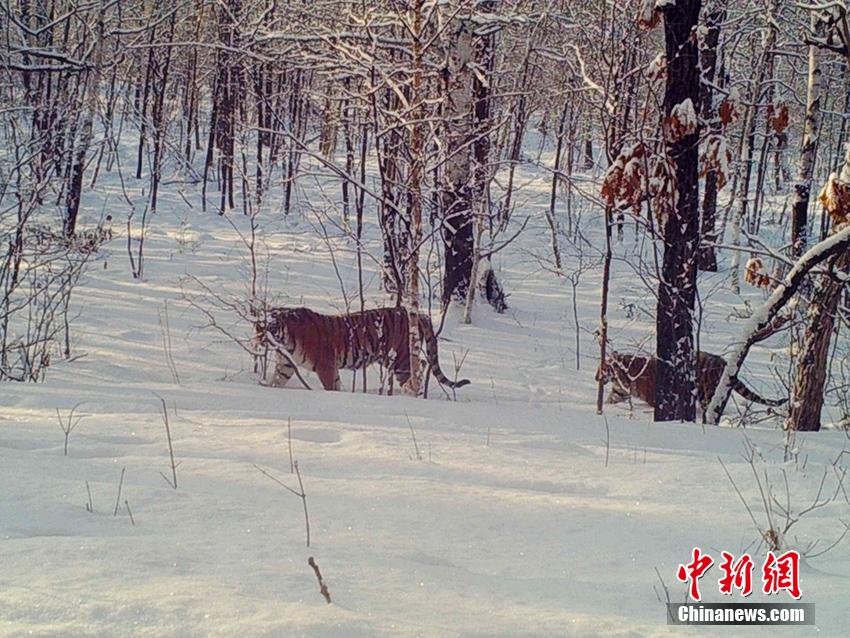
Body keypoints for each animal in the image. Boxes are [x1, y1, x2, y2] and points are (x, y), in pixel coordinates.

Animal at [253, 306, 470, 392]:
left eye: (268, 328)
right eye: (257, 328)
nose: (258, 340)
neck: (285, 340)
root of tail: (416, 312)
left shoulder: (325, 365)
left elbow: (330, 385)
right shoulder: (286, 364)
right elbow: (277, 379)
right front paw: (267, 386)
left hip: (399, 359)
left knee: (417, 369)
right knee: (422, 363)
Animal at [596, 350, 786, 412]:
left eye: (601, 368)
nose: (595, 377)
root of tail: (722, 362)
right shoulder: (620, 391)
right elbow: (611, 399)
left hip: (706, 392)